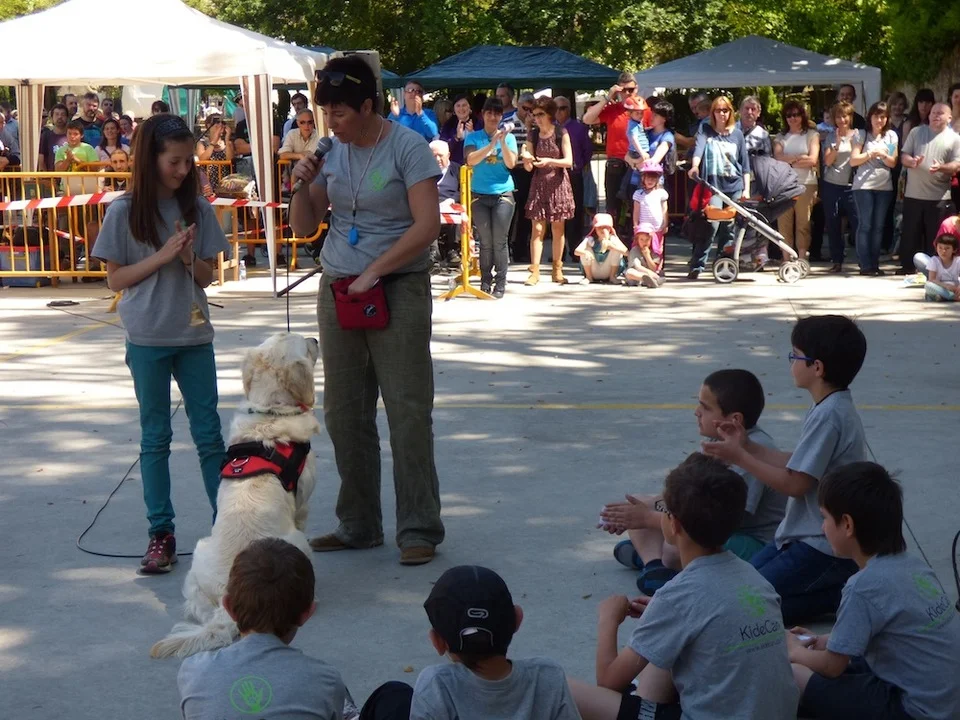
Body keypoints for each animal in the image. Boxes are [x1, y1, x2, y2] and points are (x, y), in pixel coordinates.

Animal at [150, 333, 321, 659]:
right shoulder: (303, 503)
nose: (315, 338)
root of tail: (231, 595)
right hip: (297, 542)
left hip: (200, 556)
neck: (270, 411)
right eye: (302, 343)